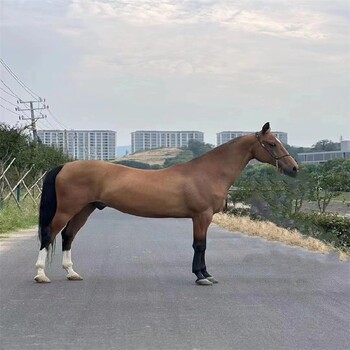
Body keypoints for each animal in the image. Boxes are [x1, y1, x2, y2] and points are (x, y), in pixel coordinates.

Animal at [34, 123, 298, 284]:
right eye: (272, 143)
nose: (294, 168)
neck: (208, 173)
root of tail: (65, 166)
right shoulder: (201, 216)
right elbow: (199, 245)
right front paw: (201, 276)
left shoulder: (203, 217)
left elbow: (202, 246)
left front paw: (206, 273)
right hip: (66, 209)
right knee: (49, 234)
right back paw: (41, 275)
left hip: (84, 209)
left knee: (68, 236)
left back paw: (71, 273)